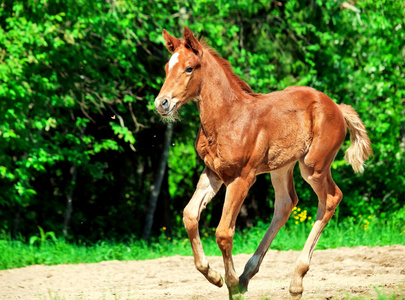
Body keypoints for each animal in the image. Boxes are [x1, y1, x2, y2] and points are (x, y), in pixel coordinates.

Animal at [153, 27, 370, 298]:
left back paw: (295, 281)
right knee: (286, 203)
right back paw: (248, 273)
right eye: (166, 68)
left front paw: (232, 285)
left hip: (314, 167)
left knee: (331, 198)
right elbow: (190, 215)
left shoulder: (242, 178)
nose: (161, 103)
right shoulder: (212, 173)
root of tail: (338, 108)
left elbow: (223, 232)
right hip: (281, 166)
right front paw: (214, 276)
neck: (227, 117)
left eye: (189, 68)